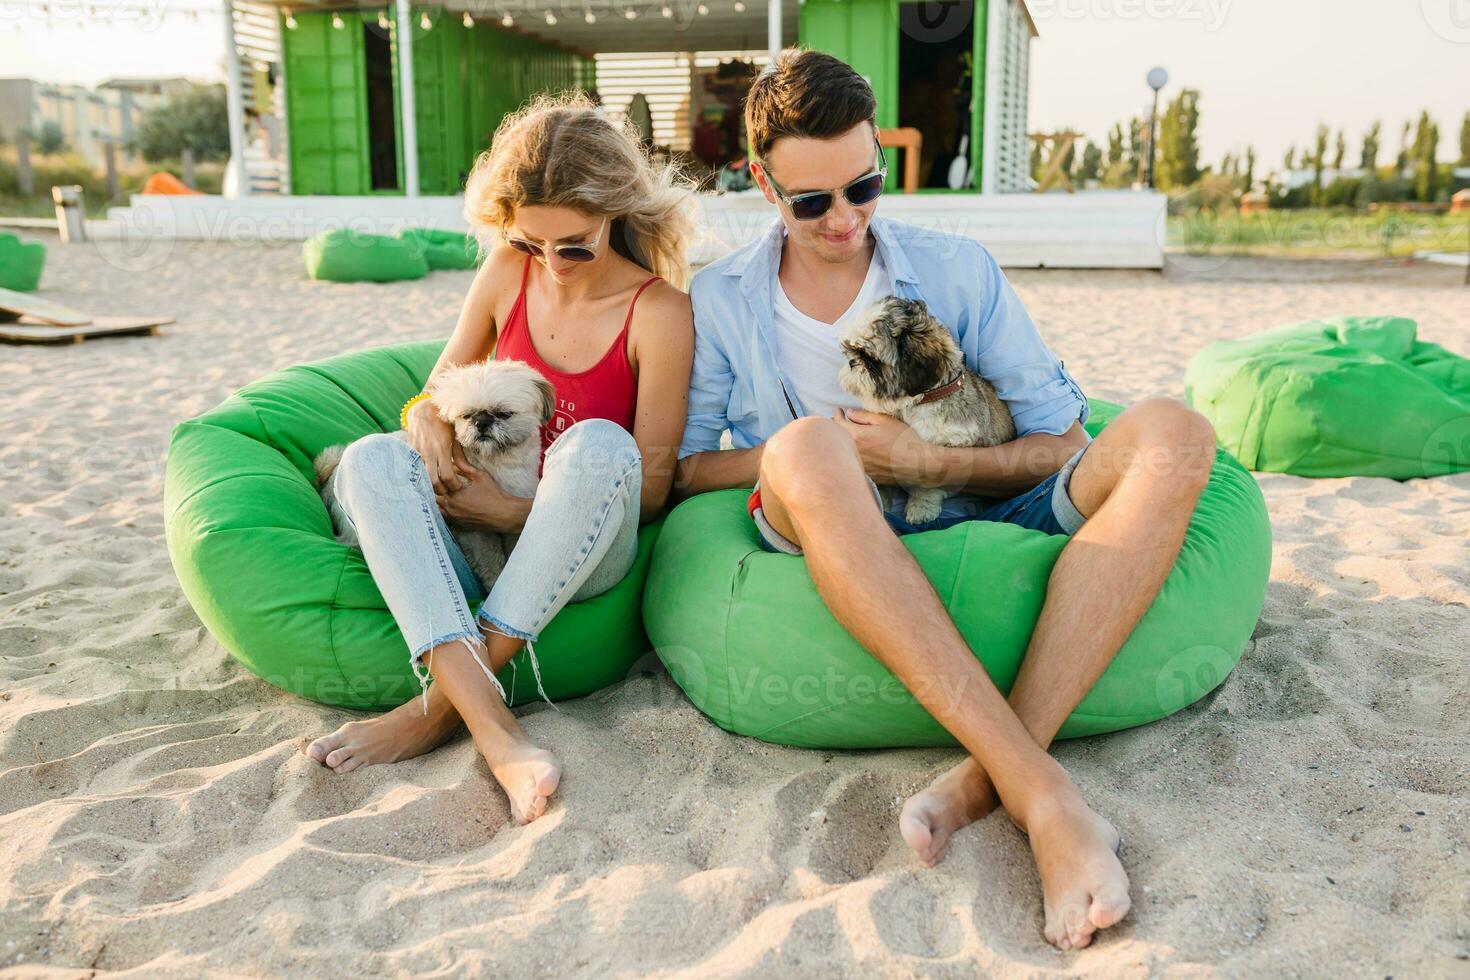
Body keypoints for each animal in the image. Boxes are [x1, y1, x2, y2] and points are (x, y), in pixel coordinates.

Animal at [313, 359, 552, 590]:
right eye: (466, 416)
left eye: (504, 414)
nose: (482, 423)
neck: (494, 462)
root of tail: (332, 472)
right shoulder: (474, 528)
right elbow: (489, 559)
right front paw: (495, 580)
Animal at [834, 295, 1017, 528]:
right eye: (852, 351)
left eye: (871, 359)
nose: (852, 362)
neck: (913, 405)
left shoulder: (949, 447)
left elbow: (927, 484)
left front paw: (920, 508)